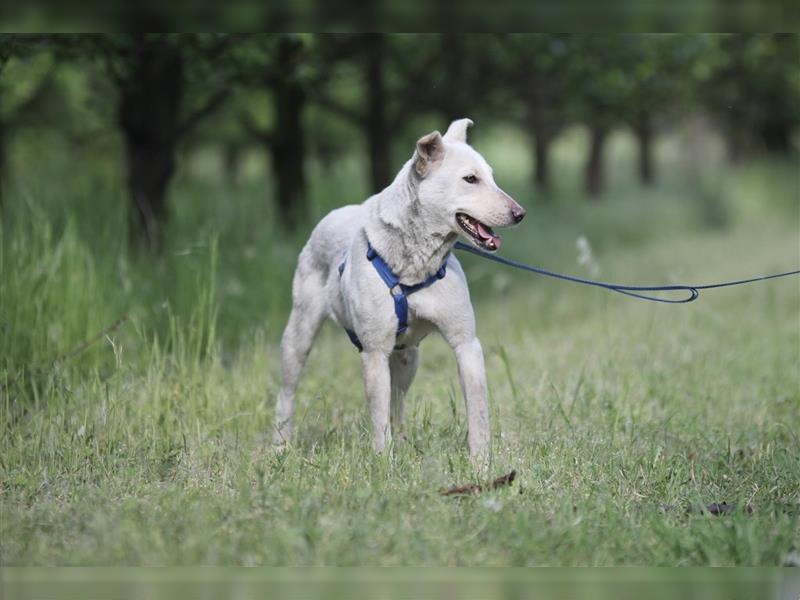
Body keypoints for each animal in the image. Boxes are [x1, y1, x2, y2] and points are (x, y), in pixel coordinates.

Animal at [274, 119, 524, 462]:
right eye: (470, 179)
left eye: (491, 176)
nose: (520, 213)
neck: (416, 266)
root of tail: (334, 213)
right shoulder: (374, 352)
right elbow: (378, 420)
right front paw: (383, 465)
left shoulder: (467, 345)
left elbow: (478, 414)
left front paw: (480, 465)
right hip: (299, 334)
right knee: (288, 390)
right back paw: (279, 445)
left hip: (408, 358)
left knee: (398, 401)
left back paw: (405, 444)